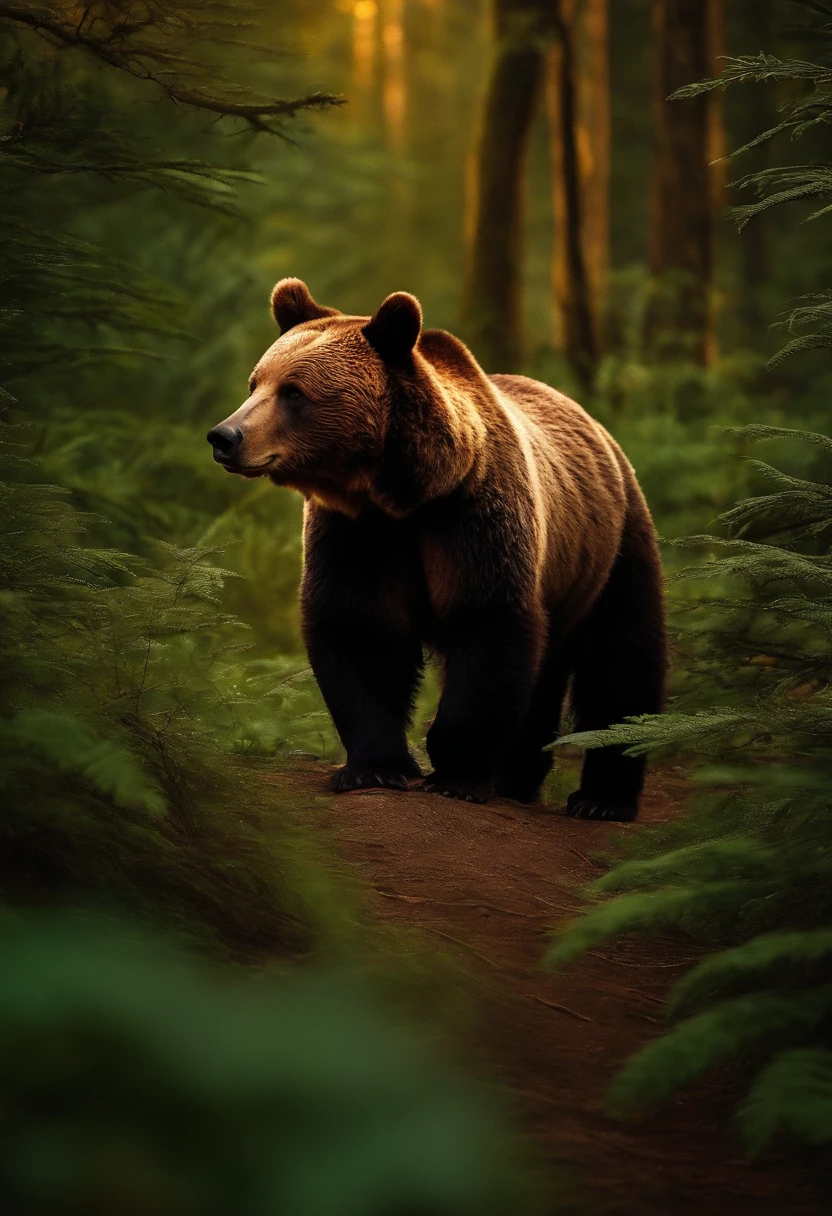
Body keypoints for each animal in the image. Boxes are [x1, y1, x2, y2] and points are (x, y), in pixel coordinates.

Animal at [208, 279, 671, 822]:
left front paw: (456, 775)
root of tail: (597, 426)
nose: (224, 436)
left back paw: (600, 798)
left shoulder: (470, 518)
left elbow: (486, 624)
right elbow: (359, 628)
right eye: (255, 384)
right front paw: (373, 767)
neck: (402, 493)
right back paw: (519, 779)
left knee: (621, 655)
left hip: (613, 545)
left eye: (294, 392)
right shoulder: (358, 534)